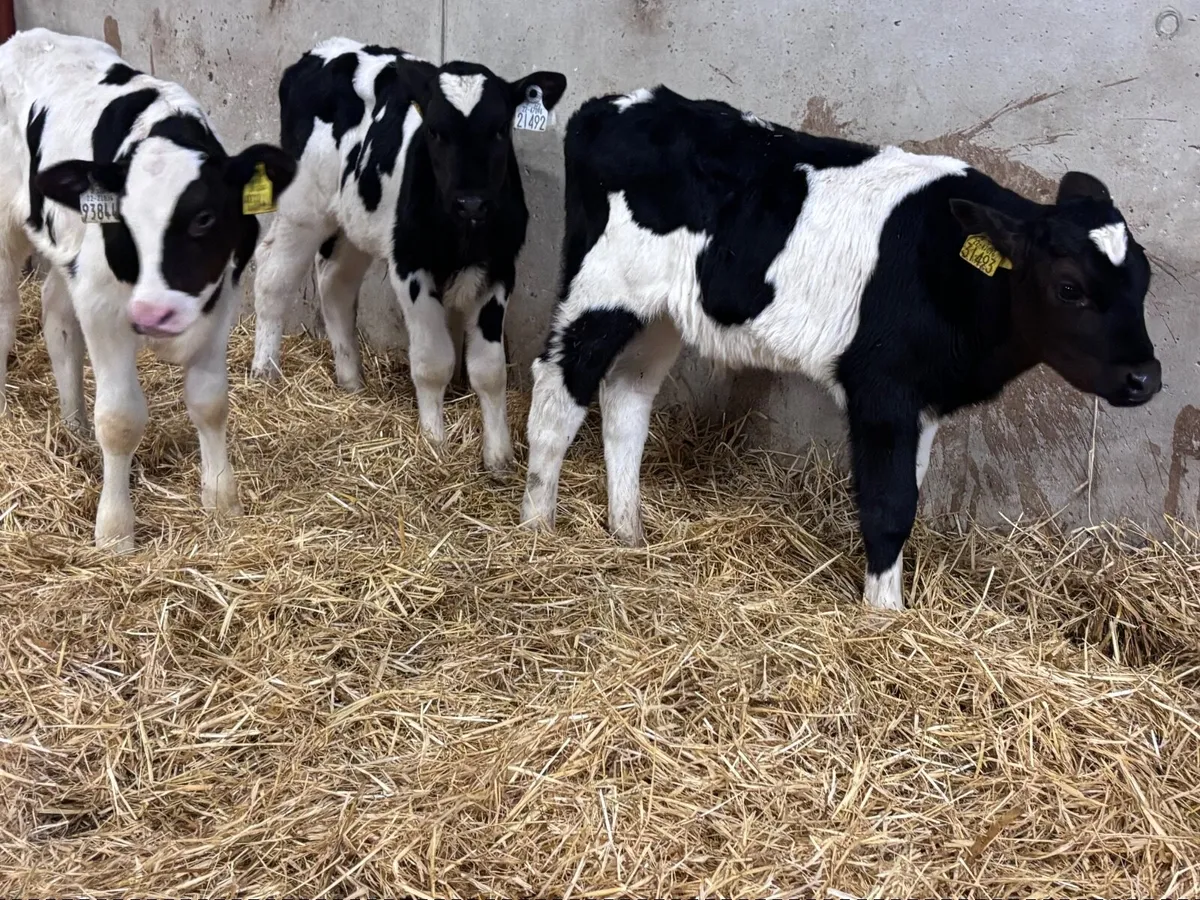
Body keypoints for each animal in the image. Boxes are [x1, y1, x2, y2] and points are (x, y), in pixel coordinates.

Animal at [0, 29, 296, 551]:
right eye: (122, 220)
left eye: (204, 218)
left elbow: (210, 402)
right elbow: (120, 420)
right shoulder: (103, 307)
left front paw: (221, 500)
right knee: (6, 309)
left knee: (56, 314)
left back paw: (74, 426)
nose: (155, 316)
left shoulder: (219, 300)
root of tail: (25, 36)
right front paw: (115, 532)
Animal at [250, 38, 567, 475]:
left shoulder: (501, 270)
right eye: (435, 131)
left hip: (354, 220)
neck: (462, 233)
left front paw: (498, 457)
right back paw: (264, 373)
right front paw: (435, 444)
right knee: (272, 277)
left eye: (500, 129)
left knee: (335, 282)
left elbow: (489, 370)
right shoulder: (410, 266)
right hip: (303, 207)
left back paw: (351, 379)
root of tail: (327, 49)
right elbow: (433, 362)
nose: (471, 202)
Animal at [519, 85, 1162, 611]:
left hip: (660, 313)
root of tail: (614, 104)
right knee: (559, 387)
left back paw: (628, 533)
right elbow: (888, 502)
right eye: (1070, 288)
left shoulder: (921, 399)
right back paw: (536, 527)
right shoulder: (880, 386)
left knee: (626, 397)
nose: (1146, 378)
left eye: (1144, 280)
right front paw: (884, 616)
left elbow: (909, 493)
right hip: (603, 287)